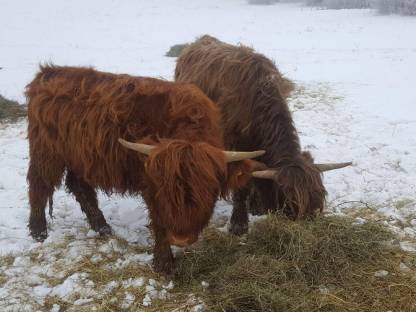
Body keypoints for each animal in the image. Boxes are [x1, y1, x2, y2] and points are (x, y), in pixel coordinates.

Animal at [26, 65, 264, 272]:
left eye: (209, 191)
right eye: (167, 192)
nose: (181, 239)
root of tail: (48, 72)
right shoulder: (151, 185)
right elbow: (159, 219)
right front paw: (164, 263)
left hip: (79, 156)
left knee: (79, 186)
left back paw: (102, 227)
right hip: (47, 152)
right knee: (39, 184)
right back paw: (38, 231)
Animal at [176, 35, 352, 234]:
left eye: (320, 195)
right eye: (291, 201)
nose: (309, 223)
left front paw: (256, 206)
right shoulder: (236, 146)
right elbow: (243, 184)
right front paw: (239, 223)